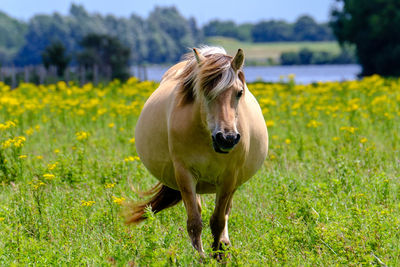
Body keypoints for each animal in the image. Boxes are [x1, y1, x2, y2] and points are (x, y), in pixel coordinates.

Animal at [126, 46, 268, 260]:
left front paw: (218, 253)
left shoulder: (229, 177)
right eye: (205, 92)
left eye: (239, 92)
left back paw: (224, 245)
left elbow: (218, 220)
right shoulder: (185, 174)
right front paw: (201, 258)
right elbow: (194, 222)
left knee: (225, 212)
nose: (227, 138)